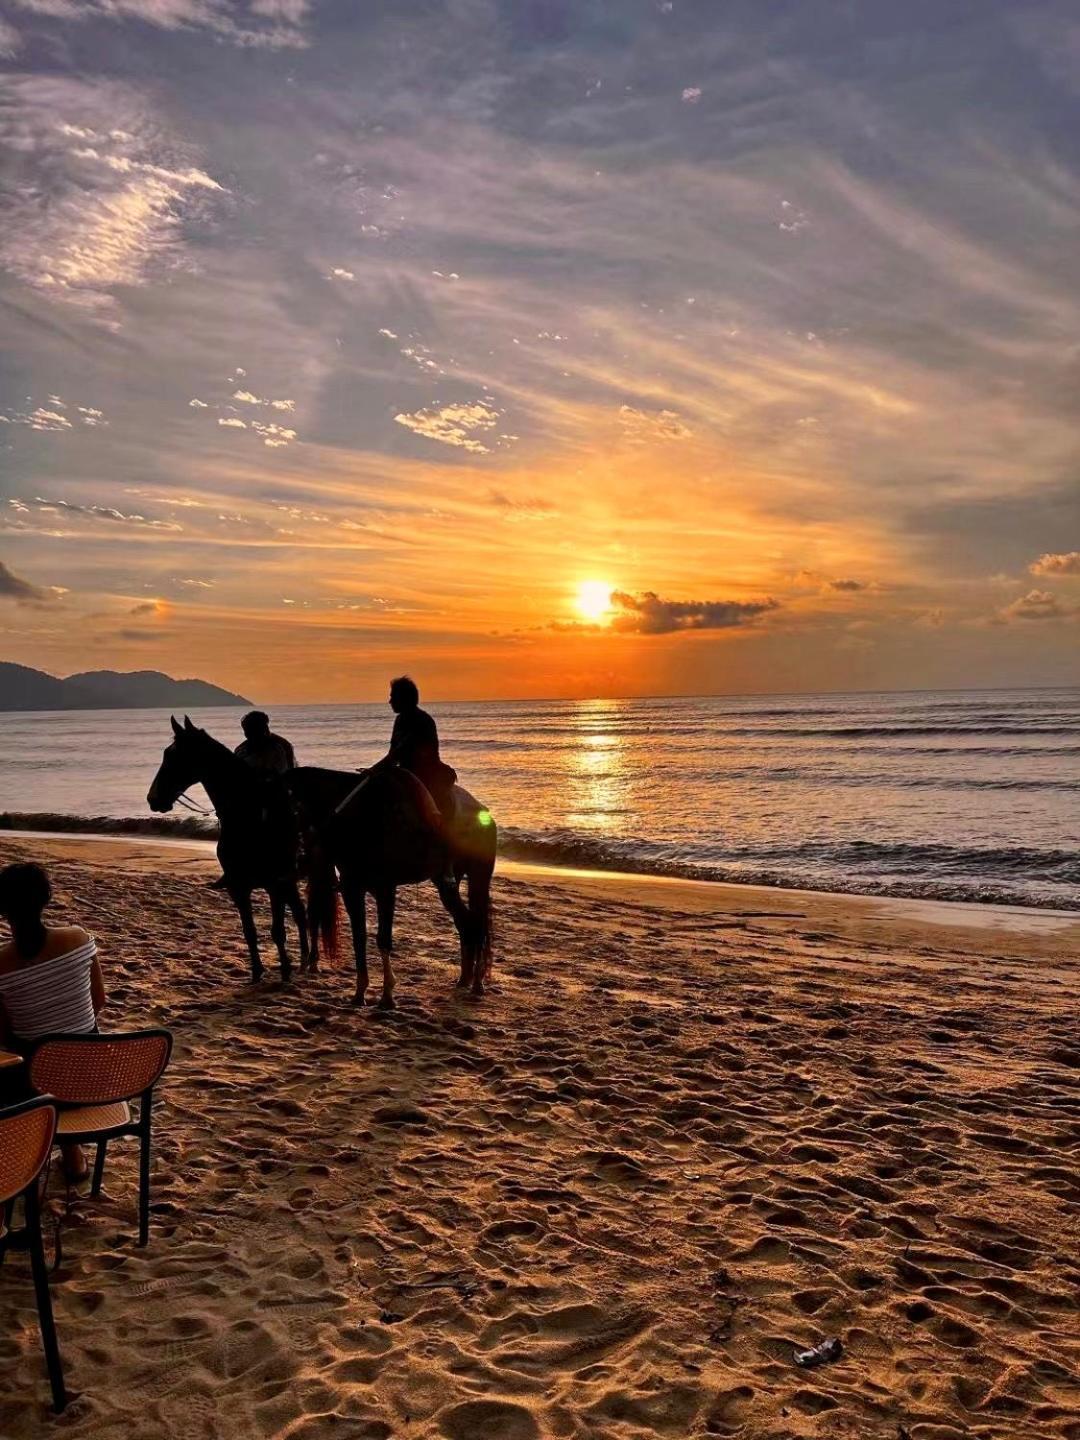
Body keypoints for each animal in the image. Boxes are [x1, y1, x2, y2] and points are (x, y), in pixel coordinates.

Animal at [146, 714, 311, 984]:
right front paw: (256, 972)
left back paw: (310, 960)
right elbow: (249, 931)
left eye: (172, 756)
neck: (248, 820)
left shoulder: (274, 884)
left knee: (303, 913)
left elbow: (277, 931)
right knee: (299, 911)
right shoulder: (239, 887)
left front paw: (285, 971)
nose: (153, 799)